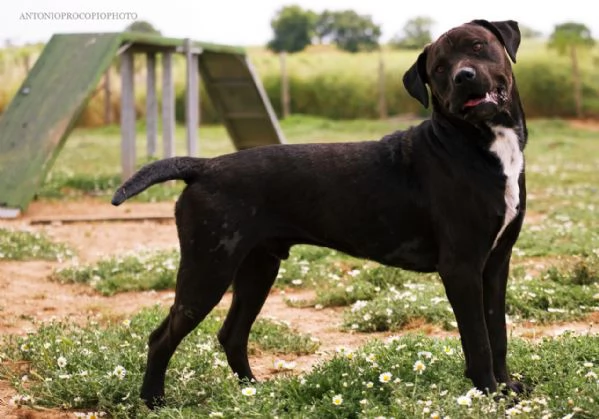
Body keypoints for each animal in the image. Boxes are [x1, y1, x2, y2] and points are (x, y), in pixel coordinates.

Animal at [111, 18, 524, 406]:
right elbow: (478, 340)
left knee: (232, 334)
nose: (463, 76)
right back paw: (154, 400)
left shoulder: (495, 264)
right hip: (207, 270)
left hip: (256, 269)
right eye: (439, 67)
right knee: (161, 337)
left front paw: (507, 389)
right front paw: (489, 393)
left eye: (478, 45)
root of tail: (204, 166)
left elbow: (497, 333)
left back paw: (254, 392)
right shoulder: (461, 267)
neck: (478, 142)